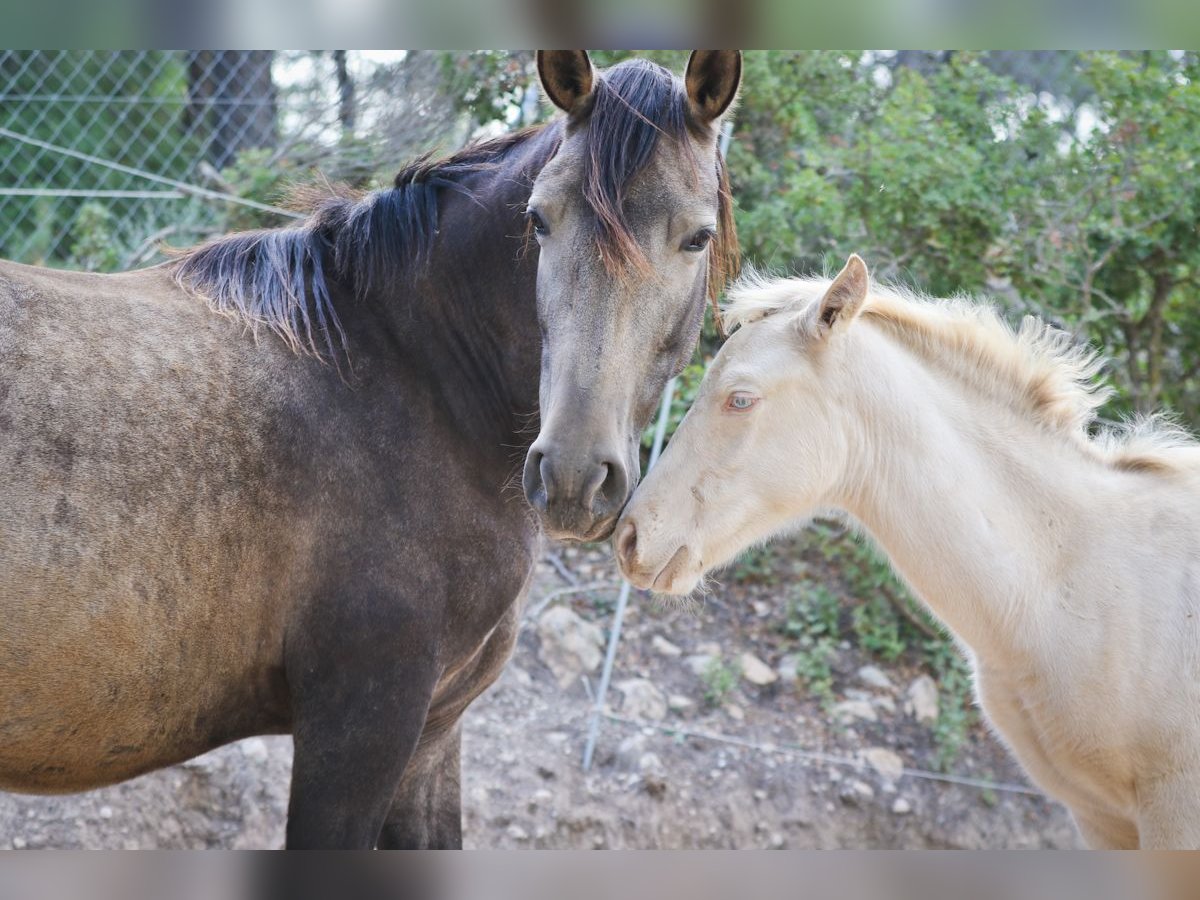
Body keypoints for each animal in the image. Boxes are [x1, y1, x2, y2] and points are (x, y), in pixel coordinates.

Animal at [0, 52, 739, 849]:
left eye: (696, 238)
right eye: (539, 220)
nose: (572, 475)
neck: (413, 371)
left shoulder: (434, 732)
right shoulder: (361, 727)